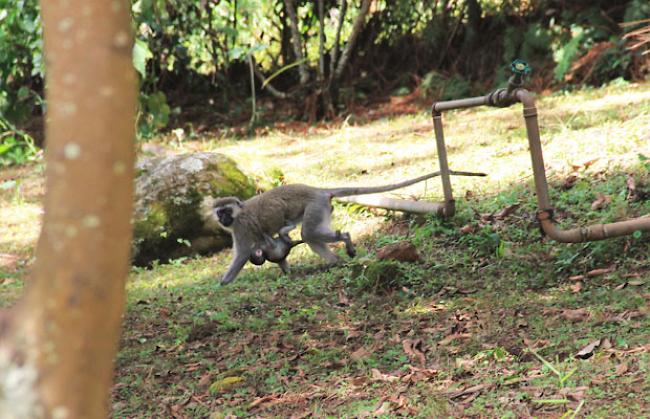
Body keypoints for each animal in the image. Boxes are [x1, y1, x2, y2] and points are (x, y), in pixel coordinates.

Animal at [213, 170, 480, 286]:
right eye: (219, 212)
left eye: (226, 212)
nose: (223, 220)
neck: (239, 213)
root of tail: (319, 191)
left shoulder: (241, 227)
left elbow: (242, 254)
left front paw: (223, 283)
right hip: (321, 208)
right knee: (308, 235)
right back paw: (334, 261)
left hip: (315, 206)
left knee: (309, 233)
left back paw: (345, 239)